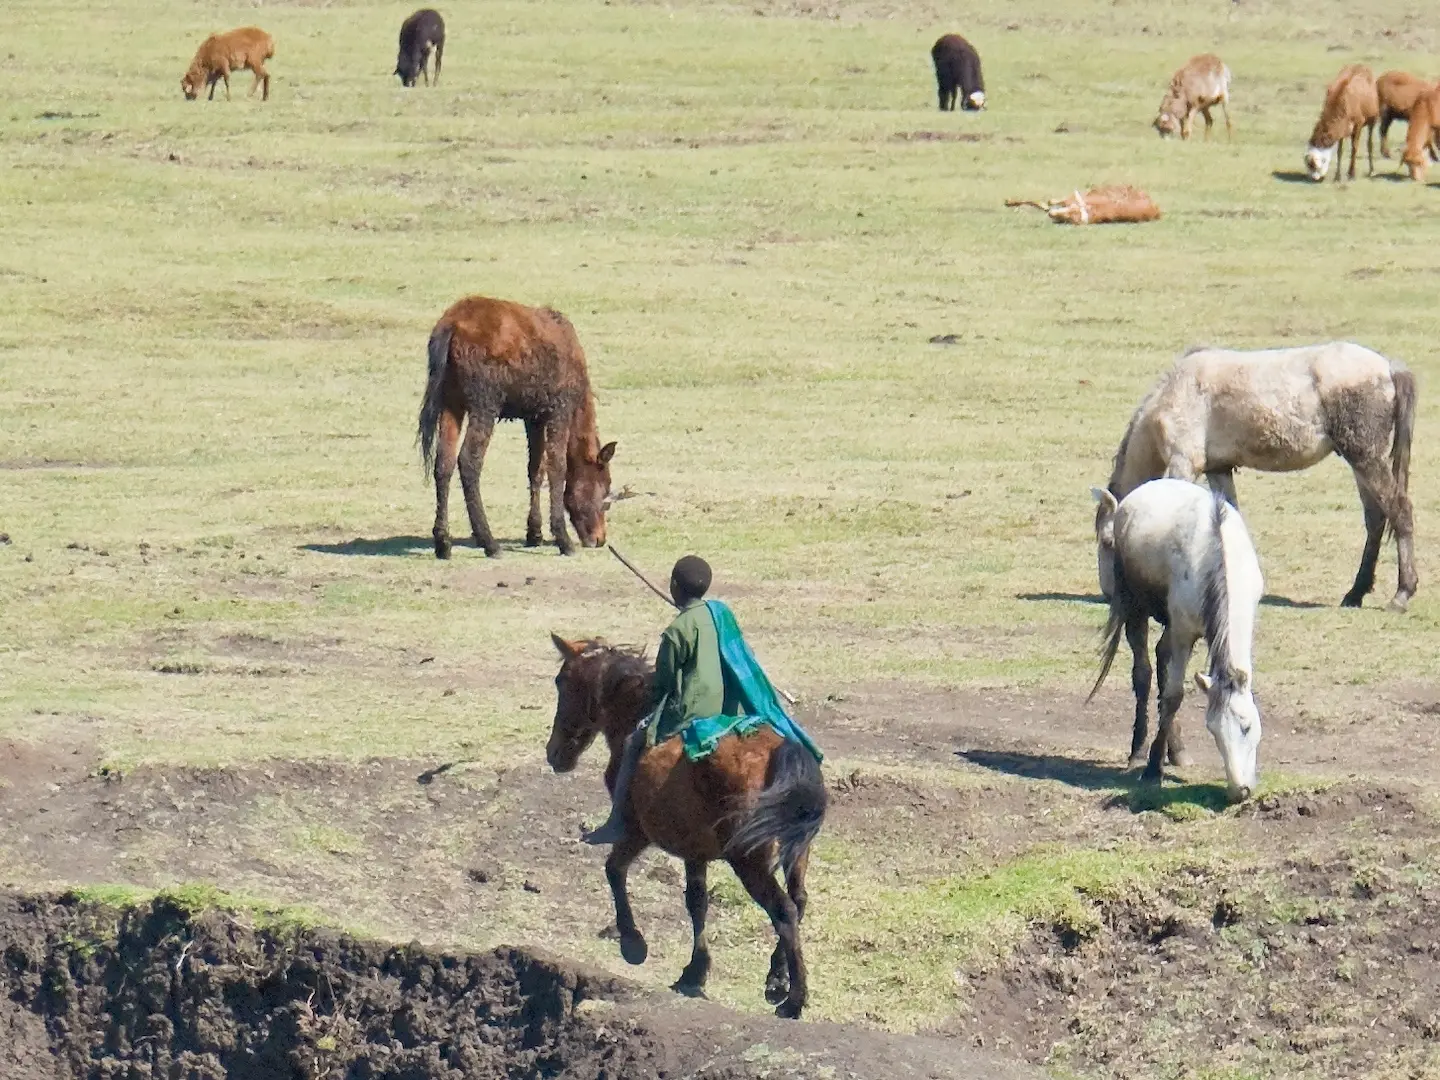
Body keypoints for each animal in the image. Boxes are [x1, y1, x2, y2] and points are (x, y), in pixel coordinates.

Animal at [417, 300, 619, 561]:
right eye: (605, 492)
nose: (599, 538)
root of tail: (449, 326)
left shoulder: (534, 416)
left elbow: (535, 469)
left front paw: (534, 533)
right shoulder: (558, 409)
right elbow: (557, 467)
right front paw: (562, 538)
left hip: (451, 403)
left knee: (444, 462)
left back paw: (443, 542)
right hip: (484, 403)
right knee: (469, 461)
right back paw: (489, 542)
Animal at [544, 639, 829, 1019]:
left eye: (561, 682)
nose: (554, 753)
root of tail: (783, 752)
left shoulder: (637, 832)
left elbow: (614, 870)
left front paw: (633, 944)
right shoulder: (695, 850)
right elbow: (697, 902)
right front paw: (695, 971)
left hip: (750, 862)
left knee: (783, 911)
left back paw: (794, 999)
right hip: (795, 853)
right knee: (798, 901)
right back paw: (776, 980)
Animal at [1088, 480, 1261, 806]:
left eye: (1246, 726)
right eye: (1213, 731)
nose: (1239, 791)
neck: (1219, 554)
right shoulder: (1182, 631)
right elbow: (1173, 695)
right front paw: (1152, 769)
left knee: (1160, 658)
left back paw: (1176, 750)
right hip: (1136, 608)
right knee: (1143, 672)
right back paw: (1138, 751)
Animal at [1100, 342, 1416, 613]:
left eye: (1107, 541)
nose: (1108, 593)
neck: (1177, 390)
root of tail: (1388, 367)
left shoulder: (1184, 463)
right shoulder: (1219, 469)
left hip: (1365, 458)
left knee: (1400, 511)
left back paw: (1402, 594)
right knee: (1376, 519)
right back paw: (1355, 593)